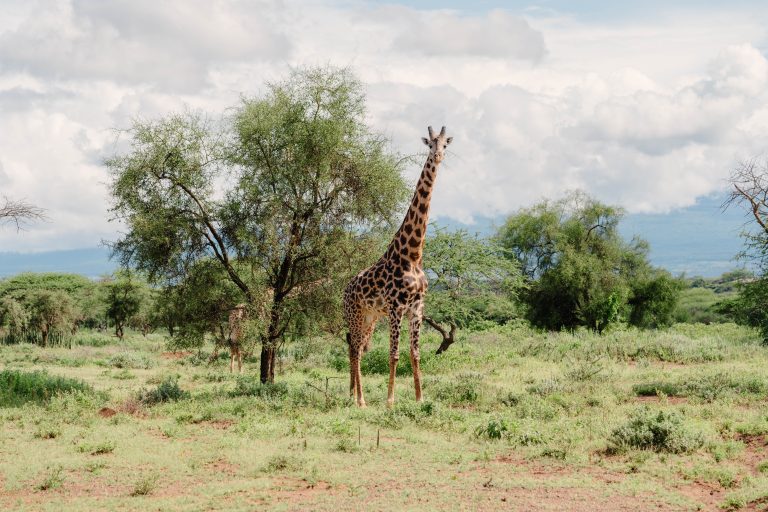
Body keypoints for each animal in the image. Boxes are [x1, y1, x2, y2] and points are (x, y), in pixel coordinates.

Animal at [344, 125, 452, 408]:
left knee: (358, 349)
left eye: (445, 144)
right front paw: (390, 400)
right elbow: (393, 354)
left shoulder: (417, 307)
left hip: (370, 317)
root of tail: (344, 289)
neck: (412, 255)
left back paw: (355, 396)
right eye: (430, 145)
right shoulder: (396, 307)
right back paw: (360, 401)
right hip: (354, 314)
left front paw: (420, 398)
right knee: (354, 349)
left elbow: (415, 353)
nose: (438, 156)